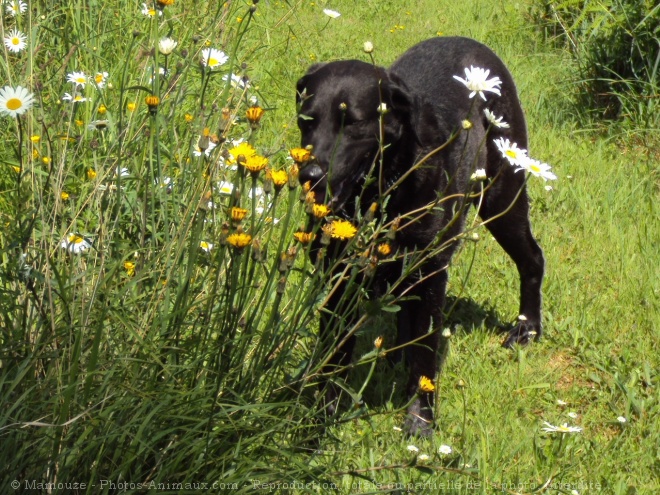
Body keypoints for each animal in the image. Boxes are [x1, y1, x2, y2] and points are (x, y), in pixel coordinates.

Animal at [296, 36, 544, 436]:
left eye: (354, 123)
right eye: (307, 120)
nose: (311, 175)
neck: (384, 189)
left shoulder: (431, 273)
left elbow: (426, 355)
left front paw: (420, 420)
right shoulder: (337, 276)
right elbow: (334, 355)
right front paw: (320, 421)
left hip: (502, 195)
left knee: (532, 258)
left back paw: (527, 329)